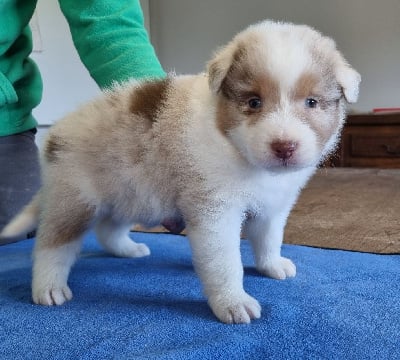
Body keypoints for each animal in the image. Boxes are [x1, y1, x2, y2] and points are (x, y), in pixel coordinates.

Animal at [0, 20, 360, 324]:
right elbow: (225, 263)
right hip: (74, 198)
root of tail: (55, 135)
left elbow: (269, 237)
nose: (284, 147)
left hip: (130, 190)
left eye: (312, 102)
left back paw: (128, 249)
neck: (233, 146)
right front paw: (233, 303)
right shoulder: (216, 212)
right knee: (51, 245)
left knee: (107, 228)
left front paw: (272, 266)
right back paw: (48, 288)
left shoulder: (273, 205)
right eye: (254, 102)